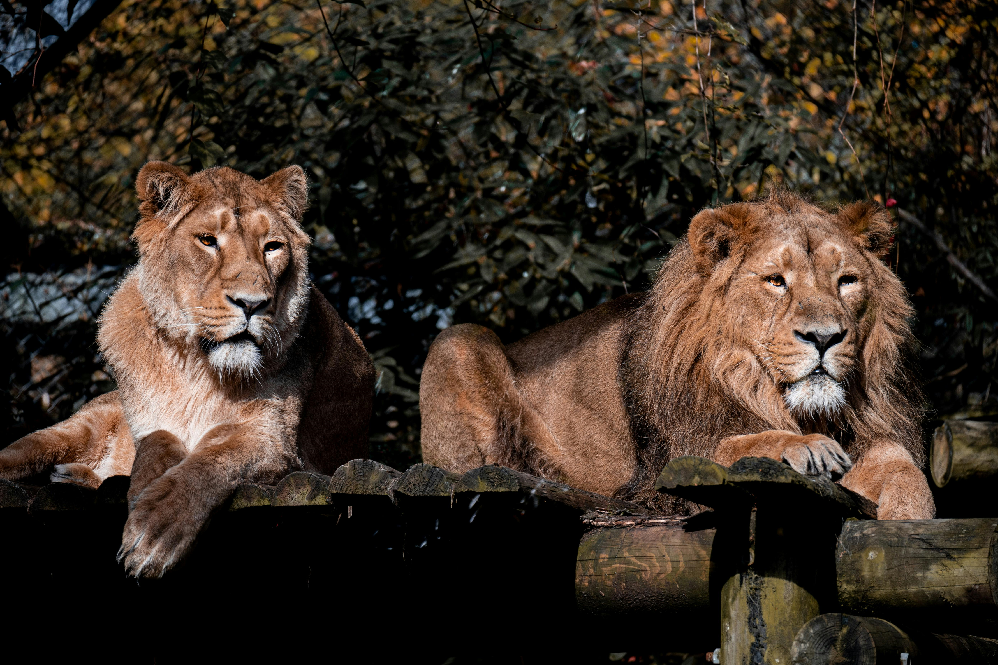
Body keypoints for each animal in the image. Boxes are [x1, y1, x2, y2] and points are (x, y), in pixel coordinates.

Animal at [0, 161, 375, 576]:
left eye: (272, 247)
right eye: (208, 241)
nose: (252, 303)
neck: (197, 369)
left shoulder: (275, 443)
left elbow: (211, 459)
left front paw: (155, 531)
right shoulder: (150, 424)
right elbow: (157, 445)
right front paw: (143, 490)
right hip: (70, 432)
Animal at [419, 192, 934, 519]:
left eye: (846, 280)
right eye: (775, 281)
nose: (824, 337)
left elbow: (902, 467)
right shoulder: (660, 474)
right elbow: (736, 445)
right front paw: (804, 447)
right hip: (459, 340)